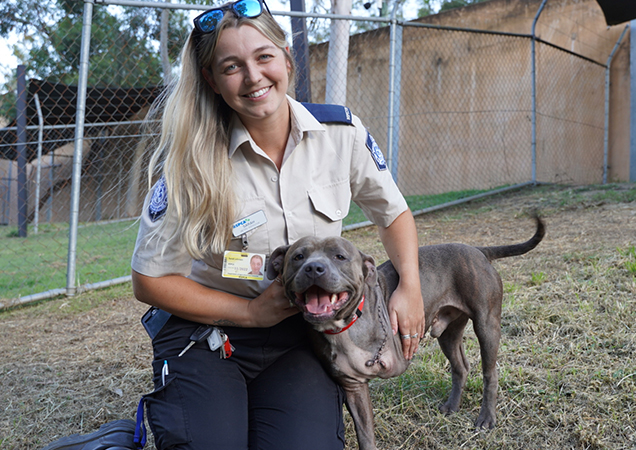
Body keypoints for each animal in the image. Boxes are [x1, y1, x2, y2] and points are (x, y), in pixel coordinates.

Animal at [268, 215, 548, 450]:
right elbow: (365, 432)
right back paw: (452, 405)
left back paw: (486, 417)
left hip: (487, 325)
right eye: (298, 257)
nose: (314, 268)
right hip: (448, 334)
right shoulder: (354, 387)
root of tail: (478, 250)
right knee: (461, 367)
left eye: (339, 256)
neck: (345, 324)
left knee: (490, 373)